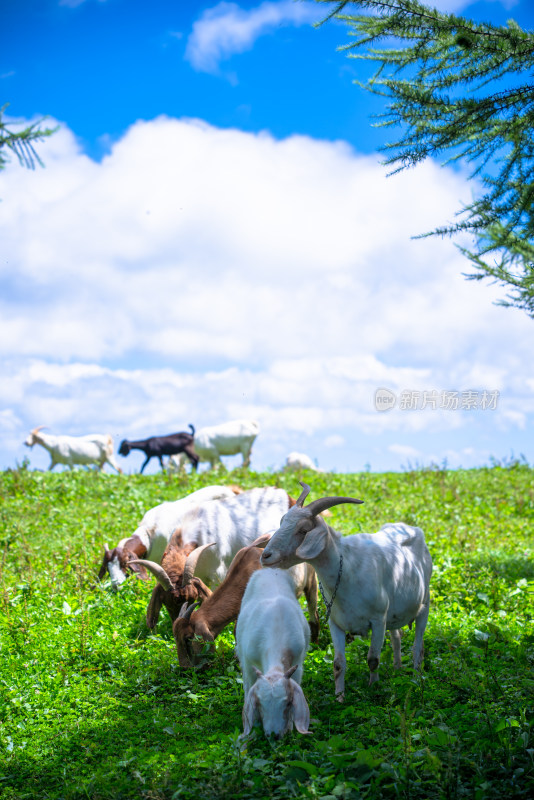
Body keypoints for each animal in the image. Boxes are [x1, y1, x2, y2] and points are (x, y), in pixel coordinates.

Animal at [264, 482, 436, 700]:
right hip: (394, 613)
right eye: (282, 522)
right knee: (396, 637)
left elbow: (373, 659)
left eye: (303, 530)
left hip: (424, 604)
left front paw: (373, 687)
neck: (346, 570)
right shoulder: (336, 622)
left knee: (417, 648)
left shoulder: (378, 620)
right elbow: (338, 664)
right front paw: (339, 697)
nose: (265, 556)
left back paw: (416, 679)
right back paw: (397, 669)